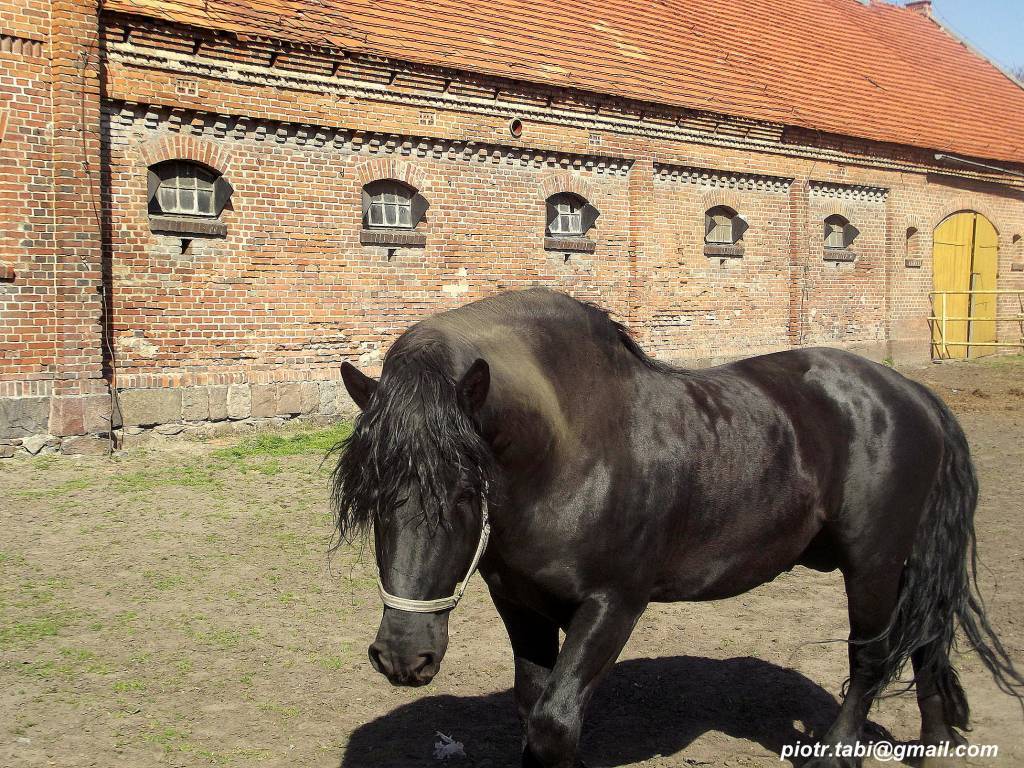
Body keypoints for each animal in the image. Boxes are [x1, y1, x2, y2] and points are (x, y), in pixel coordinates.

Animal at [331, 287, 1021, 767]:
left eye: (462, 490)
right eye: (371, 496)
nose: (402, 655)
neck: (570, 452)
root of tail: (911, 393)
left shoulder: (614, 603)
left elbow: (555, 721)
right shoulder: (518, 602)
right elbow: (534, 709)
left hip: (874, 562)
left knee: (873, 657)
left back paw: (836, 750)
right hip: (907, 559)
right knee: (928, 636)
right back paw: (937, 740)